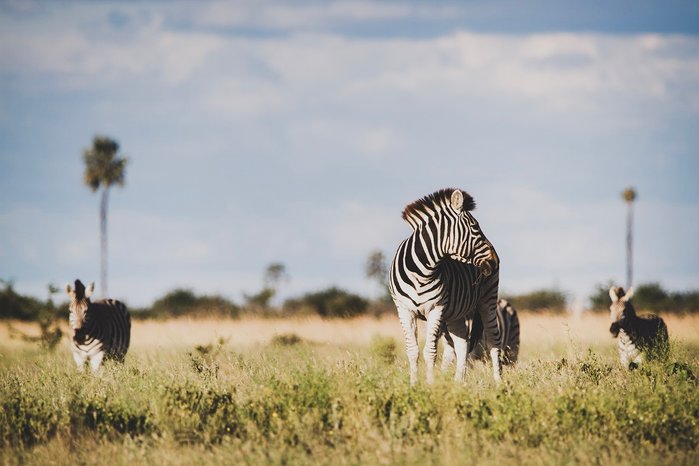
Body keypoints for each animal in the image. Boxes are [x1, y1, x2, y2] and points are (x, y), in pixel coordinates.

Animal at [389, 188, 502, 385]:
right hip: (456, 313)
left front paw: (430, 385)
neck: (421, 271)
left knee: (493, 342)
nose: (495, 261)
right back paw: (458, 383)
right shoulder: (404, 309)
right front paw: (413, 385)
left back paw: (499, 384)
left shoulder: (436, 308)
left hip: (487, 299)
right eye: (475, 228)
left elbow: (430, 351)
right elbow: (412, 350)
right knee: (462, 343)